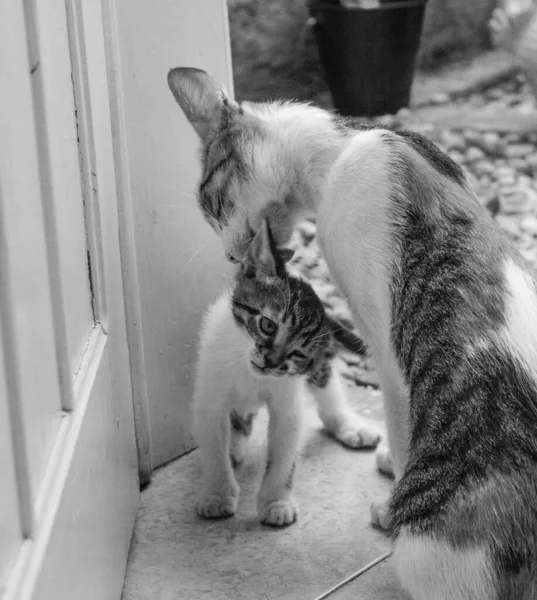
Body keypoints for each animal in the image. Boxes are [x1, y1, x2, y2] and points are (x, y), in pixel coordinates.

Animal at [191, 219, 378, 524]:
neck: (250, 374)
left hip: (319, 365)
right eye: (267, 325)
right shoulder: (210, 395)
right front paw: (217, 493)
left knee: (325, 383)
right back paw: (235, 445)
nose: (270, 362)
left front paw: (276, 501)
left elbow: (284, 452)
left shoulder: (288, 399)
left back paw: (347, 424)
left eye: (298, 353)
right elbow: (213, 446)